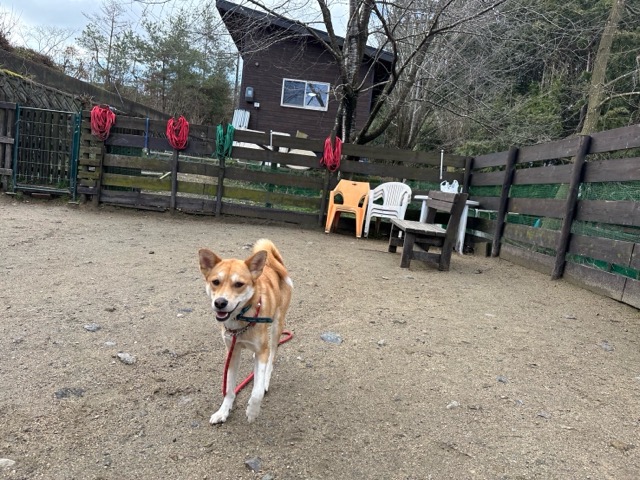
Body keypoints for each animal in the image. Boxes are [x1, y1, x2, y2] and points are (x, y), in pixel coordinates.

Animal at [198, 239, 293, 424]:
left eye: (239, 284)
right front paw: (224, 410)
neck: (241, 319)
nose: (220, 302)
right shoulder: (232, 352)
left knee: (271, 357)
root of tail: (274, 265)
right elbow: (229, 388)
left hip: (277, 327)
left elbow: (257, 391)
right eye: (216, 282)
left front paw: (253, 411)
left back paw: (265, 380)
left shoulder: (262, 351)